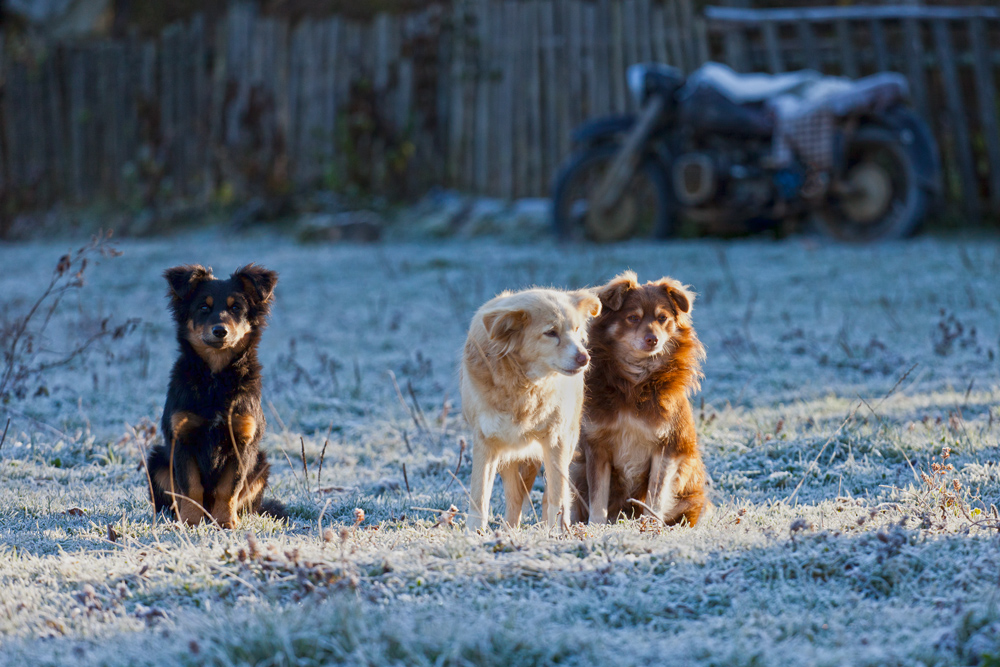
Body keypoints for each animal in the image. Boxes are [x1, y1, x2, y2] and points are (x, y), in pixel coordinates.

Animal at [146, 264, 284, 528]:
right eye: (203, 307)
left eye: (236, 308)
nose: (220, 331)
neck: (216, 379)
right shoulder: (182, 437)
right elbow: (191, 487)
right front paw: (190, 521)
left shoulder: (242, 441)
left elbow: (229, 488)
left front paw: (225, 522)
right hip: (157, 460)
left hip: (261, 465)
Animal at [460, 288, 600, 532]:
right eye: (551, 333)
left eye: (575, 329)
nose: (584, 358)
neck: (523, 385)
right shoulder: (486, 442)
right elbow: (479, 497)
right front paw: (474, 533)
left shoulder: (556, 439)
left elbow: (557, 496)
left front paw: (557, 531)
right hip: (508, 455)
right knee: (515, 497)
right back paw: (510, 529)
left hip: (566, 442)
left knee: (550, 493)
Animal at [572, 272, 712, 528]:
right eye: (633, 318)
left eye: (662, 318)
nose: (652, 339)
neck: (636, 382)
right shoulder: (597, 445)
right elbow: (598, 496)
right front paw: (596, 527)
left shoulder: (667, 445)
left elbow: (656, 496)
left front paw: (650, 526)